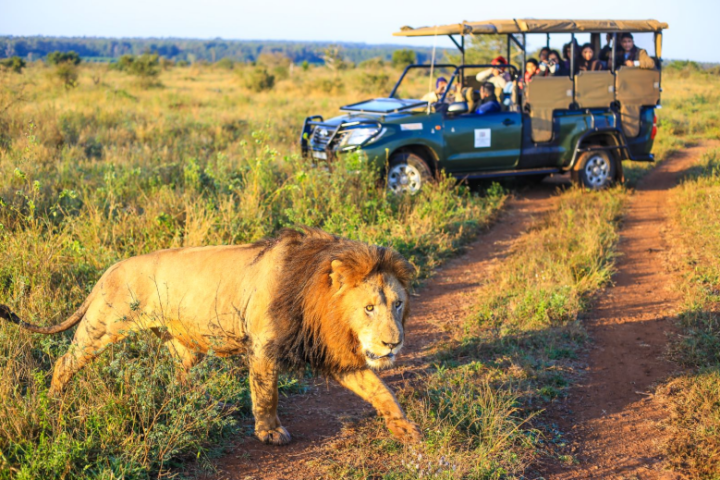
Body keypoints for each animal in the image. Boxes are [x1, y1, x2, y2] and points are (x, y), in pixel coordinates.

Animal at [0, 227, 422, 444]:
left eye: (397, 305)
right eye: (369, 308)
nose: (393, 343)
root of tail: (111, 268)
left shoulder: (331, 352)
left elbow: (380, 389)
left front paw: (404, 428)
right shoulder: (264, 346)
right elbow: (266, 393)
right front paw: (270, 432)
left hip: (185, 347)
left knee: (179, 377)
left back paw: (196, 405)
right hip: (102, 326)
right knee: (64, 361)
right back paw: (54, 402)